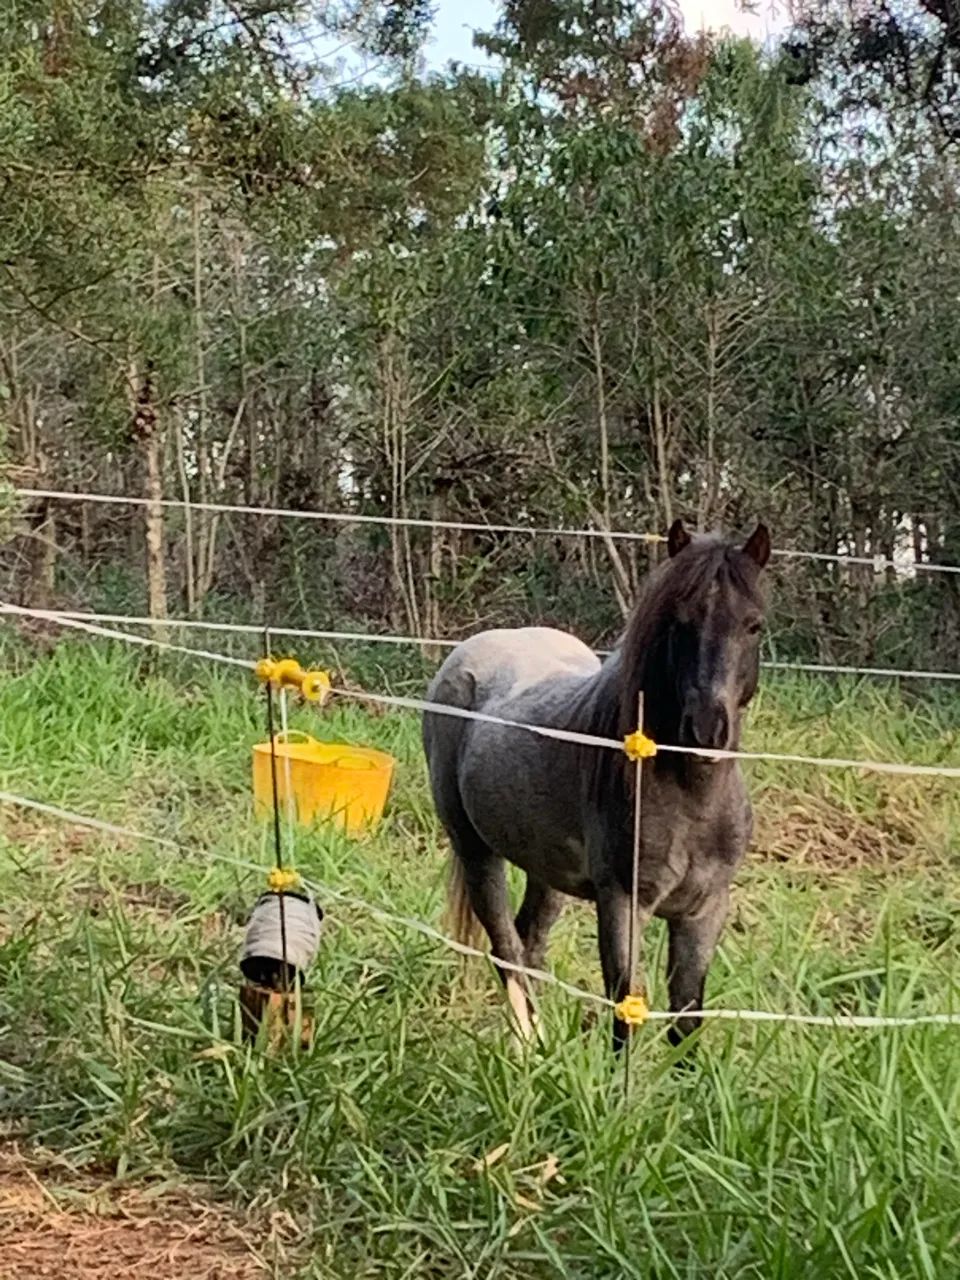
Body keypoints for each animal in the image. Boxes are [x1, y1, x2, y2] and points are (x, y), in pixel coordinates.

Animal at [422, 519, 771, 1051]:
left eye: (754, 625)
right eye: (680, 623)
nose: (707, 730)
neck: (691, 795)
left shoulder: (704, 909)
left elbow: (686, 1017)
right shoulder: (622, 901)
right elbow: (625, 1005)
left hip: (546, 870)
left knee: (529, 941)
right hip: (476, 850)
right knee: (507, 948)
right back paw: (529, 1046)